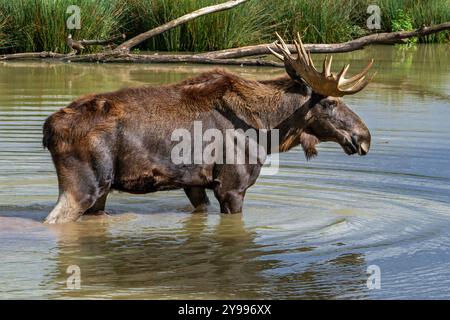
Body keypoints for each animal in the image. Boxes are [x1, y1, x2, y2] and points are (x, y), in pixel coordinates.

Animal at [43, 33, 372, 224]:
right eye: (331, 101)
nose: (364, 137)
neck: (268, 129)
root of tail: (48, 129)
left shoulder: (194, 183)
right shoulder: (232, 185)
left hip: (101, 192)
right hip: (84, 186)